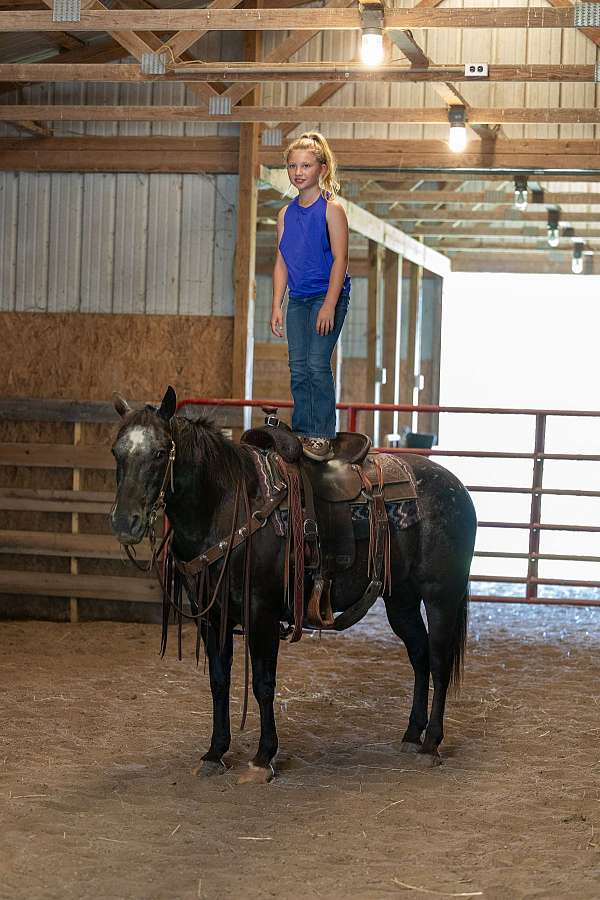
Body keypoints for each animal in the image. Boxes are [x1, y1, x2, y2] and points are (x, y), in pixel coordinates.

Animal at [111, 390, 478, 784]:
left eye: (160, 452)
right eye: (116, 451)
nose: (124, 522)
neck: (228, 505)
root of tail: (456, 486)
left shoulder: (262, 612)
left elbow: (263, 684)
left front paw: (262, 757)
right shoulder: (211, 615)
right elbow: (219, 681)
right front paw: (215, 752)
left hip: (441, 597)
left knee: (439, 660)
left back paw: (431, 744)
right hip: (401, 600)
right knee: (420, 655)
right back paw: (412, 735)